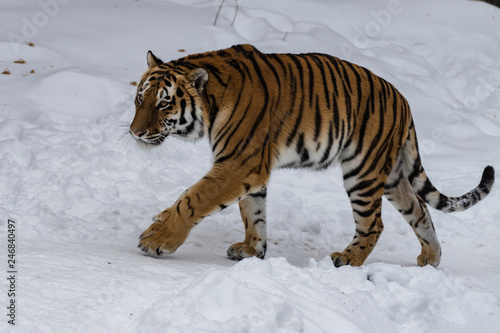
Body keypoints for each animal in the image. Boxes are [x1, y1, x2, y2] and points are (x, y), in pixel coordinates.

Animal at [130, 44, 496, 268]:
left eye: (164, 104)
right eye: (140, 99)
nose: (135, 132)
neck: (211, 104)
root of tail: (403, 100)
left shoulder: (239, 163)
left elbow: (194, 198)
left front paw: (157, 238)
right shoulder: (251, 170)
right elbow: (253, 213)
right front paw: (252, 250)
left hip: (362, 171)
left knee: (373, 224)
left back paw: (348, 260)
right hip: (392, 176)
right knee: (419, 210)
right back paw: (431, 258)